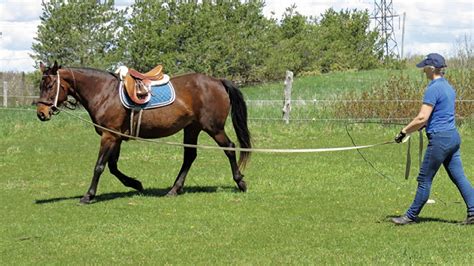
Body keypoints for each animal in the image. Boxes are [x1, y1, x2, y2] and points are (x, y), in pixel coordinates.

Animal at [36, 61, 252, 204]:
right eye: (41, 86)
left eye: (50, 85)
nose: (41, 113)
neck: (104, 92)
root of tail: (217, 81)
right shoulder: (116, 137)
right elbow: (113, 167)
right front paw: (135, 184)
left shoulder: (109, 136)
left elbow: (99, 166)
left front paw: (88, 195)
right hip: (192, 128)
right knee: (190, 156)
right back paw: (174, 189)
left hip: (213, 128)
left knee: (230, 148)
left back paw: (240, 182)